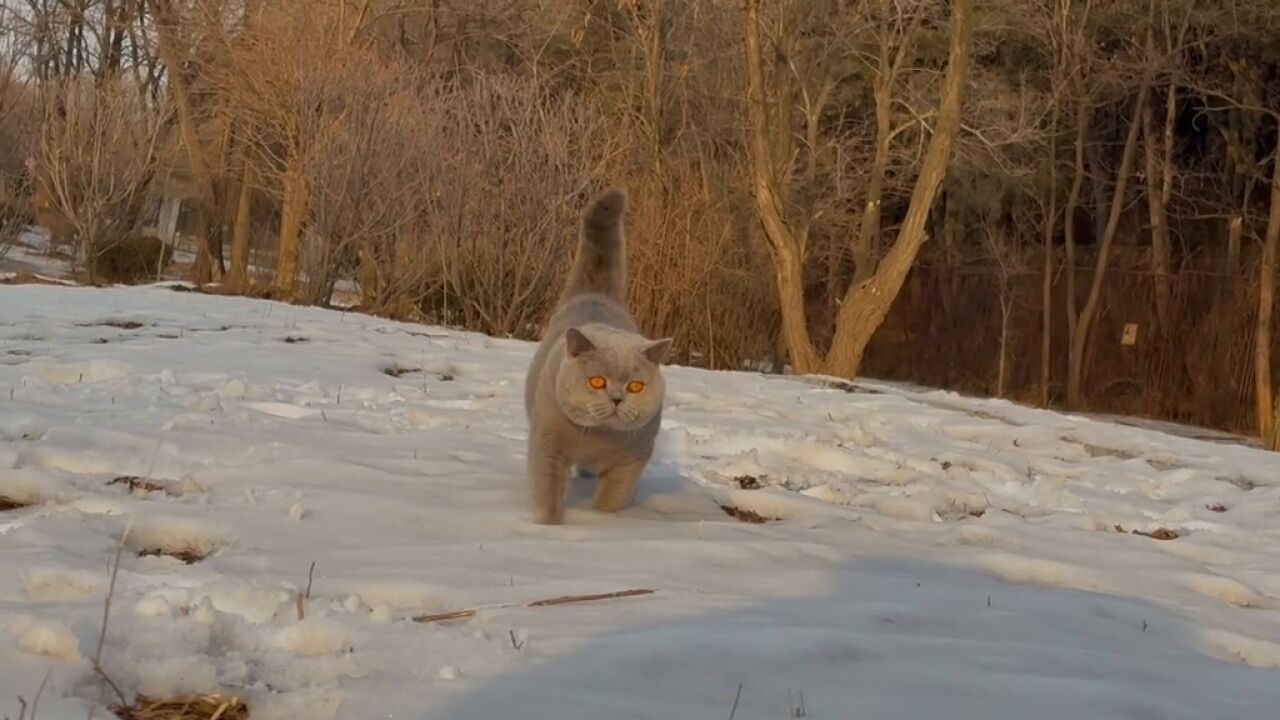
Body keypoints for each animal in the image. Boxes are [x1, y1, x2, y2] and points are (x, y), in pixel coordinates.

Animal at [524, 188, 675, 525]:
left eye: (635, 386)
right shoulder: (547, 444)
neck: (597, 441)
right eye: (596, 381)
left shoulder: (633, 459)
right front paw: (549, 527)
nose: (617, 399)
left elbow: (613, 498)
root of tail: (596, 295)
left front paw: (602, 522)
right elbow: (547, 491)